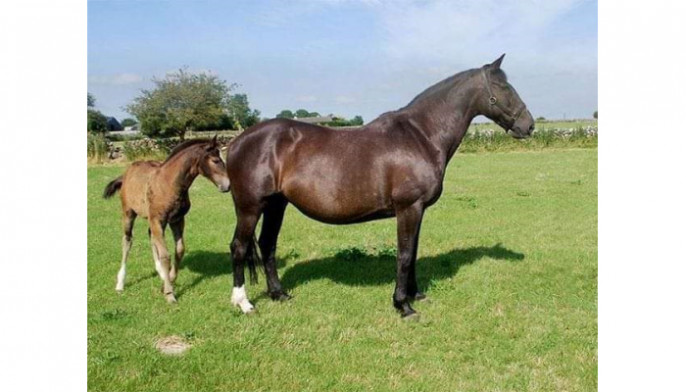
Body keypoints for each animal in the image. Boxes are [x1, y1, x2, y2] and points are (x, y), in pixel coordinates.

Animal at [103, 136, 231, 304]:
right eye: (215, 160)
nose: (228, 185)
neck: (169, 183)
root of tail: (126, 174)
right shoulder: (158, 220)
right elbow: (165, 255)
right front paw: (169, 293)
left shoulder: (177, 220)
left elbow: (179, 250)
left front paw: (167, 281)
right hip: (128, 213)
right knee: (127, 240)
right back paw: (120, 283)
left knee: (151, 236)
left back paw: (160, 273)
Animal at [226, 54, 536, 318]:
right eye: (503, 86)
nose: (529, 125)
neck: (421, 135)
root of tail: (238, 141)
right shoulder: (408, 208)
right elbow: (405, 254)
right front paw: (403, 305)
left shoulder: (418, 210)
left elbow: (413, 252)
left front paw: (415, 294)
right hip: (250, 207)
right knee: (239, 247)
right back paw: (244, 303)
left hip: (276, 204)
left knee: (267, 244)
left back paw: (279, 294)